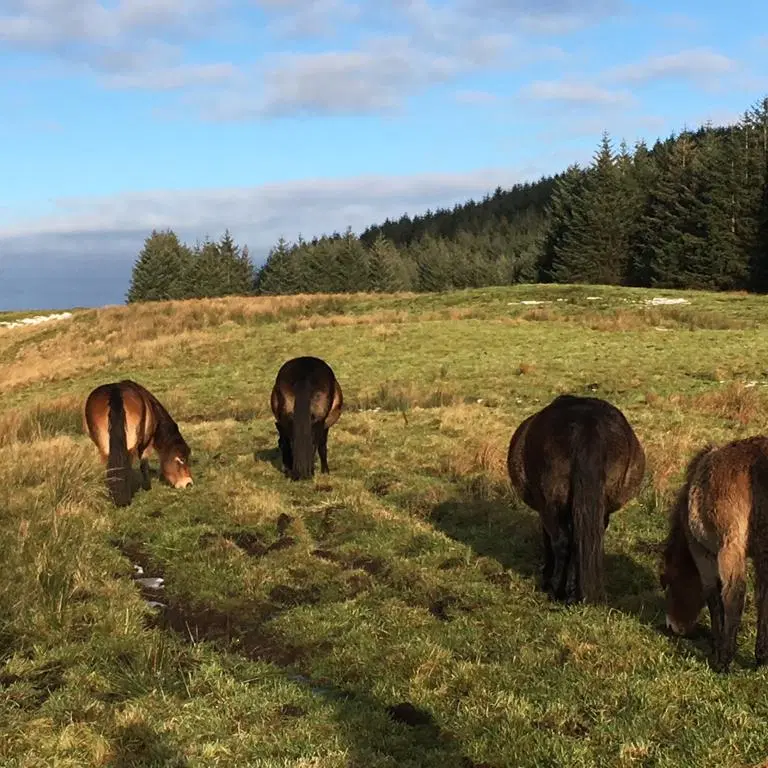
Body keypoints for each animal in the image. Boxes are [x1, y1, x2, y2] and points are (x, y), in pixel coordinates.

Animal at [507, 394, 645, 604]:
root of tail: (587, 425)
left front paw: (547, 578)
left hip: (551, 506)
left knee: (562, 543)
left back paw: (557, 590)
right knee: (580, 543)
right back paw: (576, 593)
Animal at [661, 436, 768, 672]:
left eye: (671, 584)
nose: (673, 627)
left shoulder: (703, 552)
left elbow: (713, 595)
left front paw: (717, 645)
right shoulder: (761, 554)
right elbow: (763, 598)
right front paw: (761, 656)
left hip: (729, 546)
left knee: (734, 594)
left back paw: (723, 661)